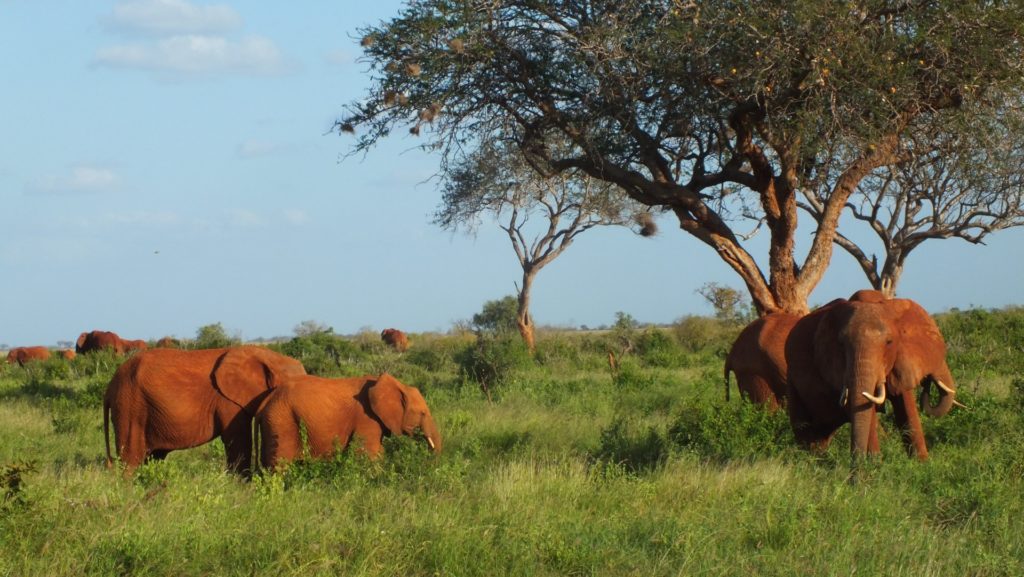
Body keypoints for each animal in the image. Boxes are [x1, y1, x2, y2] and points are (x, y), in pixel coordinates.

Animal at [102, 348, 307, 473]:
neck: (266, 355)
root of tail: (109, 387)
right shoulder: (227, 400)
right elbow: (237, 439)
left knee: (154, 456)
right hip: (130, 406)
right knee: (131, 459)